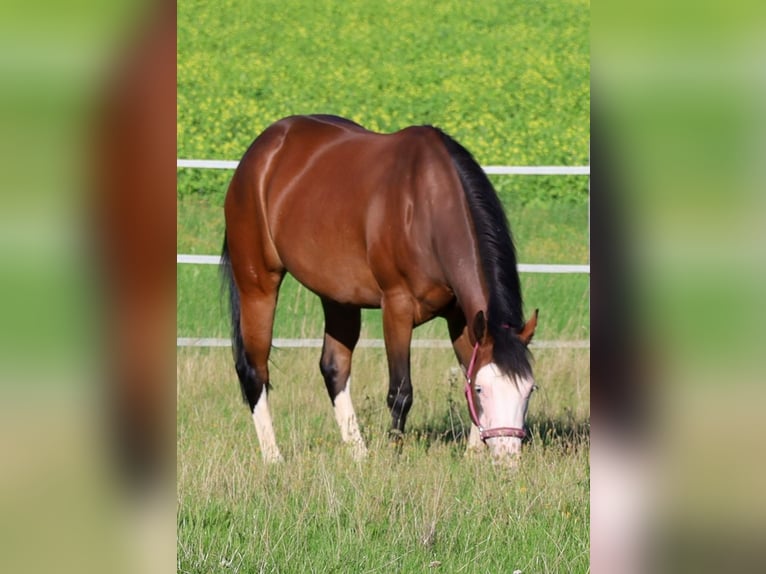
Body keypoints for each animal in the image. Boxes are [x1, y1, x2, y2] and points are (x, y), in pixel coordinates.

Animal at [220, 114, 538, 463]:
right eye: (483, 389)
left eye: (529, 389)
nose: (508, 457)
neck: (426, 204)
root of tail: (262, 150)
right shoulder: (397, 307)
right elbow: (401, 391)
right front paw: (394, 457)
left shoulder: (461, 316)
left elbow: (466, 366)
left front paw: (471, 455)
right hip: (257, 283)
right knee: (254, 369)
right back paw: (274, 457)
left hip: (339, 297)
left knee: (334, 367)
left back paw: (358, 453)